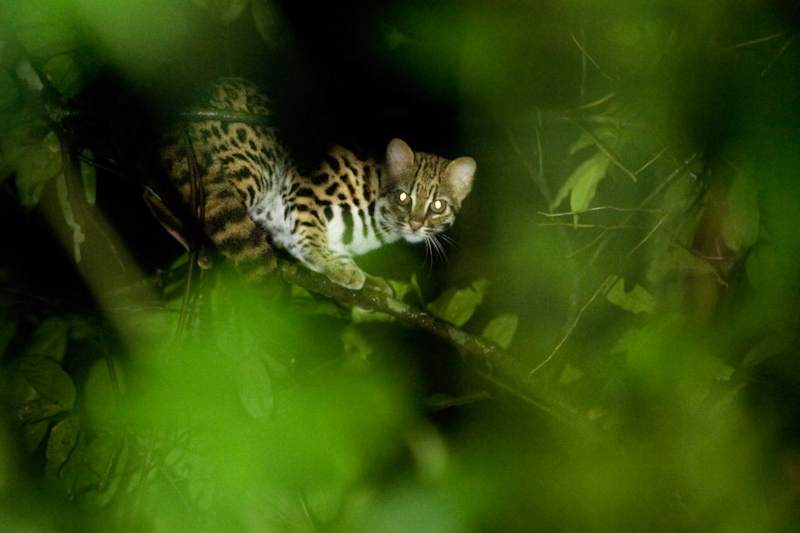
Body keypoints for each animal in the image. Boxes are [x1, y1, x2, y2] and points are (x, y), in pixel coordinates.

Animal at [159, 78, 478, 290]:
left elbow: (308, 246)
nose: (415, 224)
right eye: (403, 197)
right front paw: (333, 263)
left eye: (438, 205)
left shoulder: (289, 224)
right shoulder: (305, 185)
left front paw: (365, 279)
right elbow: (311, 236)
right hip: (252, 166)